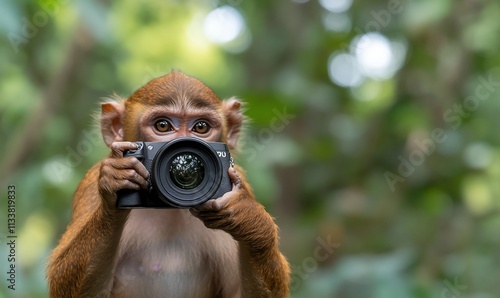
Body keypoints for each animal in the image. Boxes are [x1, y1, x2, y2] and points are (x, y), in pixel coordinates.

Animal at [47, 71, 292, 296]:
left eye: (201, 127)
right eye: (163, 125)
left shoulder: (239, 181)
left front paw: (250, 219)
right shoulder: (91, 183)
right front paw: (116, 179)